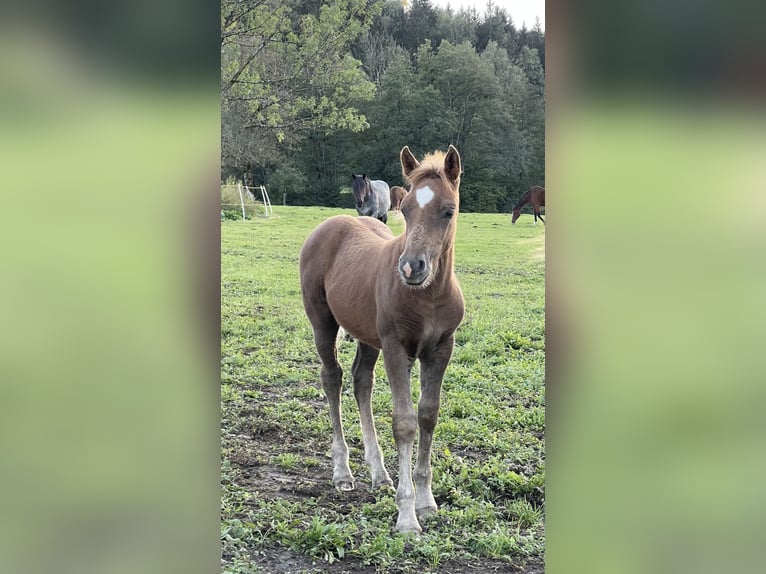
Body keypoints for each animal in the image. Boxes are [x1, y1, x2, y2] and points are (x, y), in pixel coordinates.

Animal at [304, 145, 464, 536]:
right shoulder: (395, 347)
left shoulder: (441, 349)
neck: (429, 296)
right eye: (404, 209)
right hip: (323, 323)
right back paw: (342, 472)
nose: (411, 267)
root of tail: (330, 223)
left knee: (361, 381)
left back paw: (378, 474)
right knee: (332, 378)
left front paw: (427, 503)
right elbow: (404, 422)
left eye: (448, 211)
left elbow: (428, 415)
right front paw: (406, 516)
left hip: (367, 337)